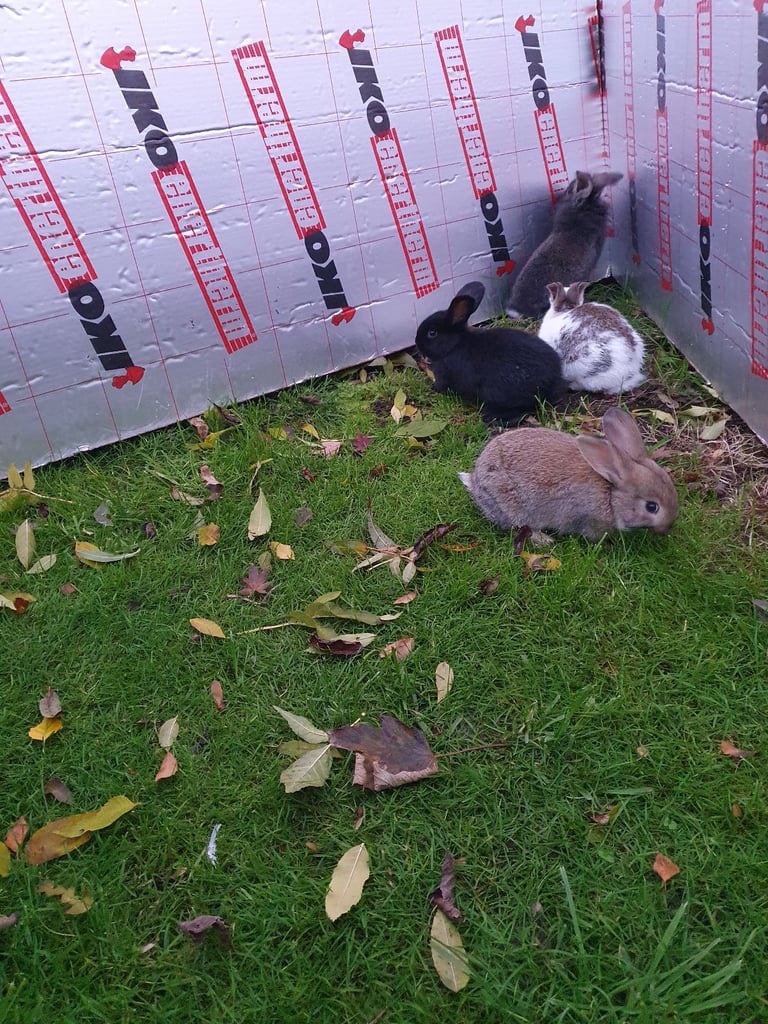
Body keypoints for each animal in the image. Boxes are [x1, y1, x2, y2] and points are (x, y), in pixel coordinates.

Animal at [414, 280, 564, 425]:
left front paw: (433, 388)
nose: (417, 343)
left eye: (432, 333)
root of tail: (552, 380)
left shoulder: (445, 375)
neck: (454, 345)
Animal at [458, 406, 679, 541]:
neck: (610, 494)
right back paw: (544, 540)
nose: (668, 527)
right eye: (652, 507)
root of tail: (476, 482)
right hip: (511, 504)